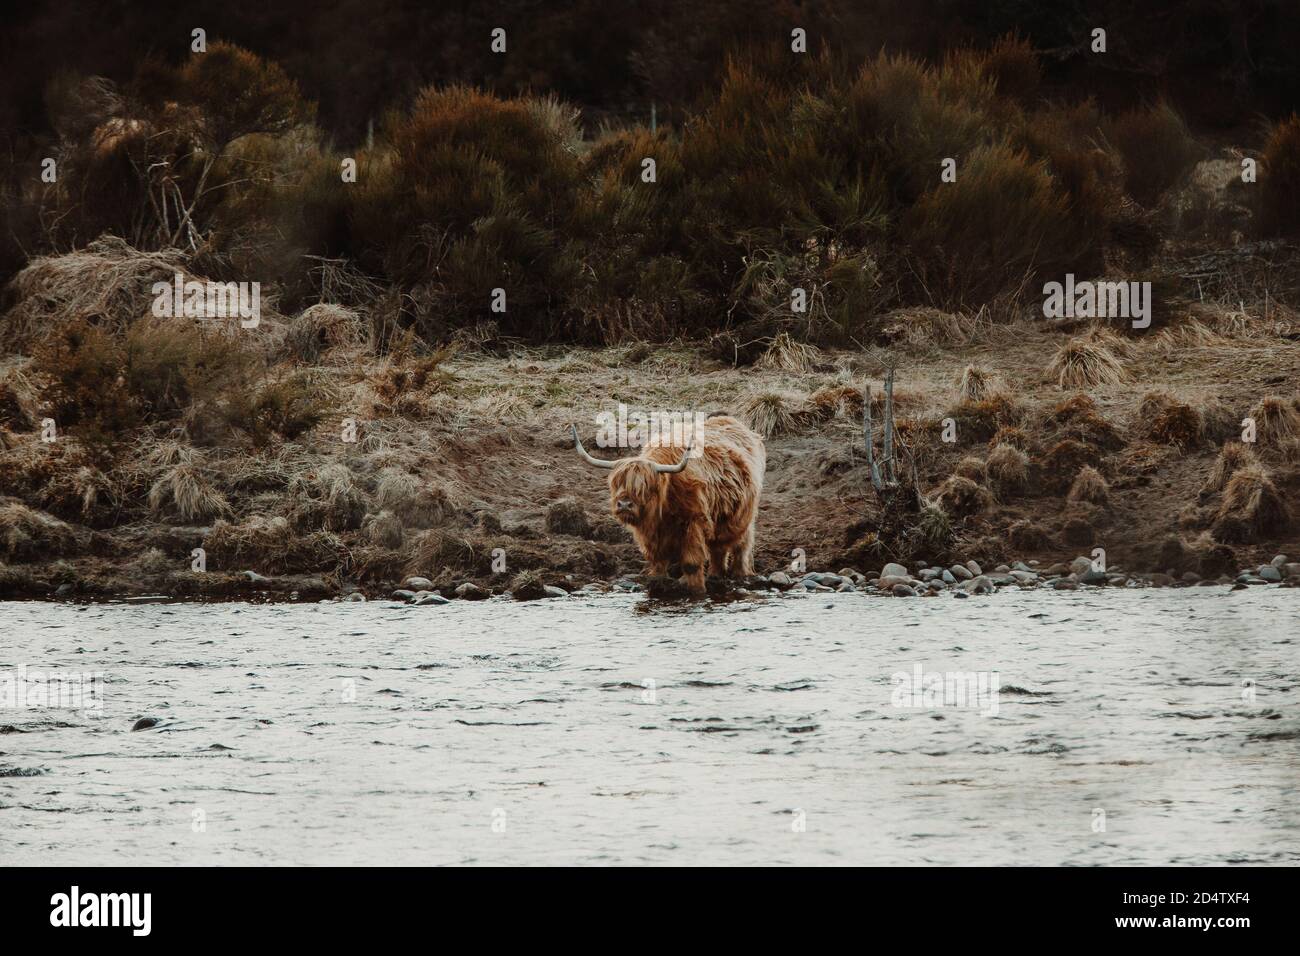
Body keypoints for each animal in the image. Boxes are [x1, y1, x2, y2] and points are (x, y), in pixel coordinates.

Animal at [574, 416, 764, 595]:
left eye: (645, 487)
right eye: (617, 484)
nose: (624, 504)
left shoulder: (694, 522)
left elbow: (691, 564)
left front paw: (697, 591)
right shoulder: (650, 534)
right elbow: (657, 562)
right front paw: (657, 586)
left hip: (743, 517)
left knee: (741, 546)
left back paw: (740, 575)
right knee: (718, 549)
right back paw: (716, 575)